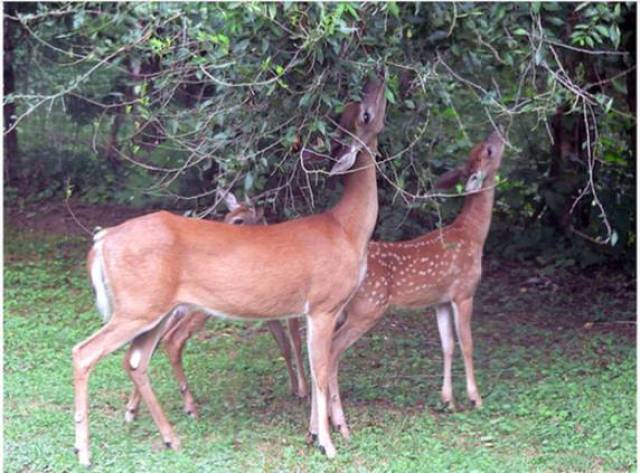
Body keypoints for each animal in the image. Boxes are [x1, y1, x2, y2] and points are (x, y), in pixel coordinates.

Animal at [122, 192, 308, 424]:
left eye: (238, 220)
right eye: (227, 215)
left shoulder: (270, 312)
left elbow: (285, 345)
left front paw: (294, 388)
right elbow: (296, 343)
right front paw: (303, 391)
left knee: (149, 346)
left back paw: (132, 409)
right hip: (196, 310)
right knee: (172, 339)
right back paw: (188, 407)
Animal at [324, 130, 504, 438]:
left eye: (480, 146)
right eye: (488, 150)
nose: (498, 132)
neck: (473, 234)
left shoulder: (440, 300)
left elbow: (448, 345)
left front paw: (448, 400)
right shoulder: (464, 292)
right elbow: (467, 344)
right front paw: (475, 398)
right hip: (367, 308)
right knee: (333, 351)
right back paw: (339, 424)